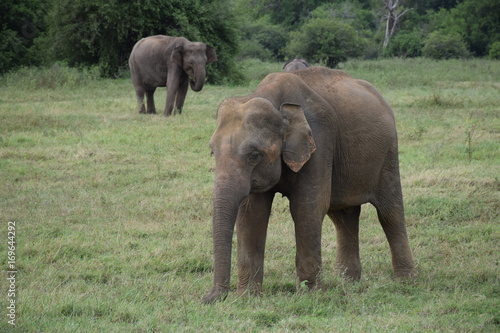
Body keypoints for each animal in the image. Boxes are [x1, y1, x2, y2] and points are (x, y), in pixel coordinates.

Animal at [201, 66, 416, 302]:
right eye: (212, 152)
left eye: (255, 155)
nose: (209, 298)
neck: (273, 100)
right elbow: (252, 213)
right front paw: (248, 297)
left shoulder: (319, 140)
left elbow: (306, 208)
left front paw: (310, 294)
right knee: (343, 216)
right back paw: (348, 281)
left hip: (388, 152)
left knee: (389, 213)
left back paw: (406, 280)